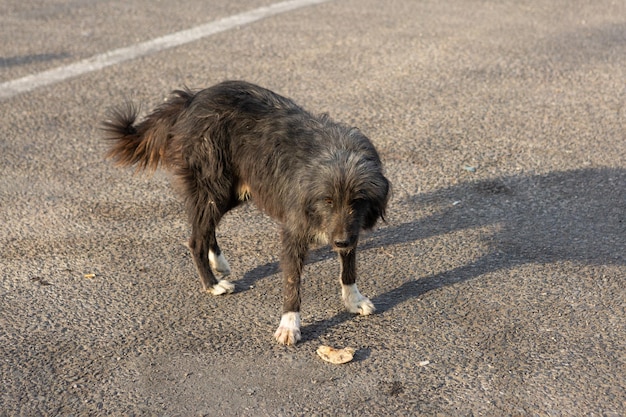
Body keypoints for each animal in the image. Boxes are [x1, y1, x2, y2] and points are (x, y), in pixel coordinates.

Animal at [100, 80, 388, 344]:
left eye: (357, 200)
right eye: (327, 200)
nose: (339, 242)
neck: (335, 154)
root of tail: (192, 98)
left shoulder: (349, 229)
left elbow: (348, 267)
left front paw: (353, 299)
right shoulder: (295, 231)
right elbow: (292, 281)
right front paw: (290, 324)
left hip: (233, 191)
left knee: (206, 227)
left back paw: (217, 261)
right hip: (213, 187)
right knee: (195, 238)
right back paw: (212, 283)